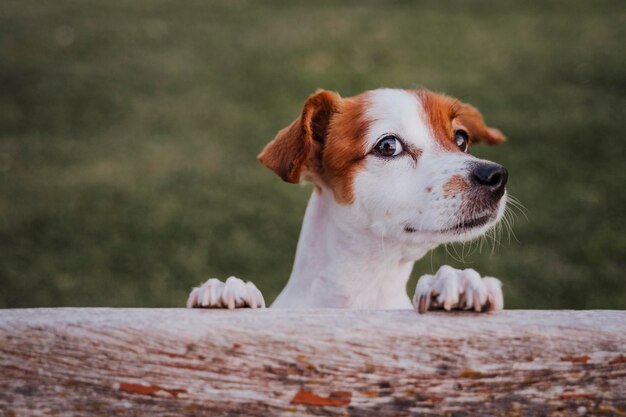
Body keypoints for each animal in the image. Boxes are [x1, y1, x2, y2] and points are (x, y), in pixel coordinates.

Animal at [186, 89, 508, 314]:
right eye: (388, 146)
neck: (366, 287)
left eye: (462, 139)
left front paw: (458, 282)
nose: (496, 175)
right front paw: (225, 292)